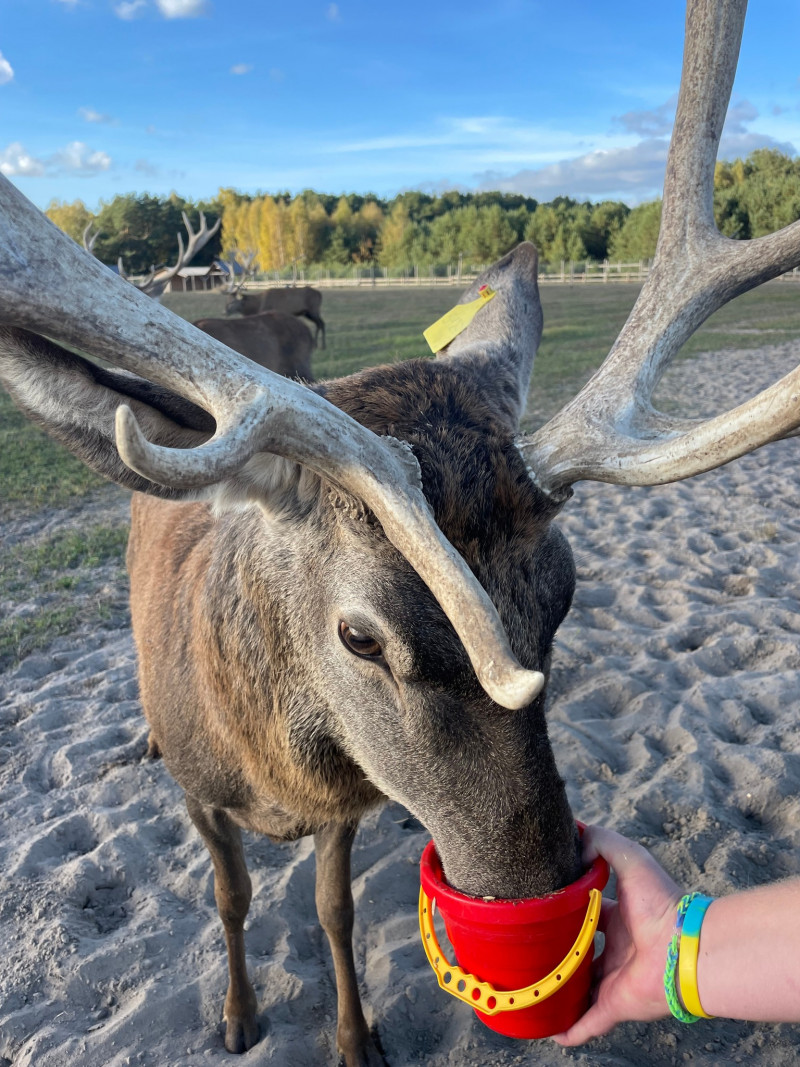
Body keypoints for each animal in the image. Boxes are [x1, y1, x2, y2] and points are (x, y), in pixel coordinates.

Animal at [1, 4, 800, 1062]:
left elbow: (334, 911)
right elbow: (229, 895)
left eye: (565, 595)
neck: (273, 776)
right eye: (359, 635)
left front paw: (356, 1037)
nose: (536, 887)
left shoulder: (346, 804)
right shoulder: (201, 794)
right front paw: (239, 1015)